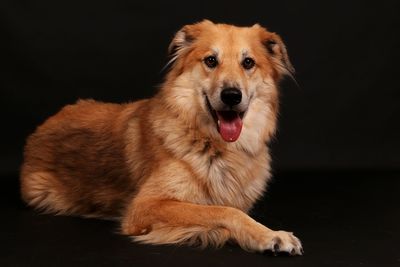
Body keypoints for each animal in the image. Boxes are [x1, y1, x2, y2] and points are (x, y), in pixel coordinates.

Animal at [20, 20, 304, 255]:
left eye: (248, 63)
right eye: (211, 61)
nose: (232, 96)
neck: (214, 145)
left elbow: (227, 209)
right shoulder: (145, 206)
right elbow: (222, 211)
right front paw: (269, 236)